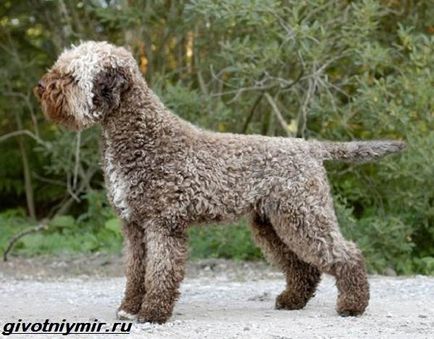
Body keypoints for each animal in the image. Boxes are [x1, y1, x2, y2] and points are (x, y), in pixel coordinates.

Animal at [35, 41, 406, 326]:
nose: (40, 86)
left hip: (303, 214)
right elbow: (136, 271)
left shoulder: (162, 225)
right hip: (272, 221)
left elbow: (160, 272)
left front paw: (153, 313)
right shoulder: (134, 226)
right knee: (302, 266)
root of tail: (310, 147)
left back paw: (352, 306)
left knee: (346, 253)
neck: (143, 136)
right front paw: (128, 308)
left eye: (71, 76)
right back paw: (291, 300)